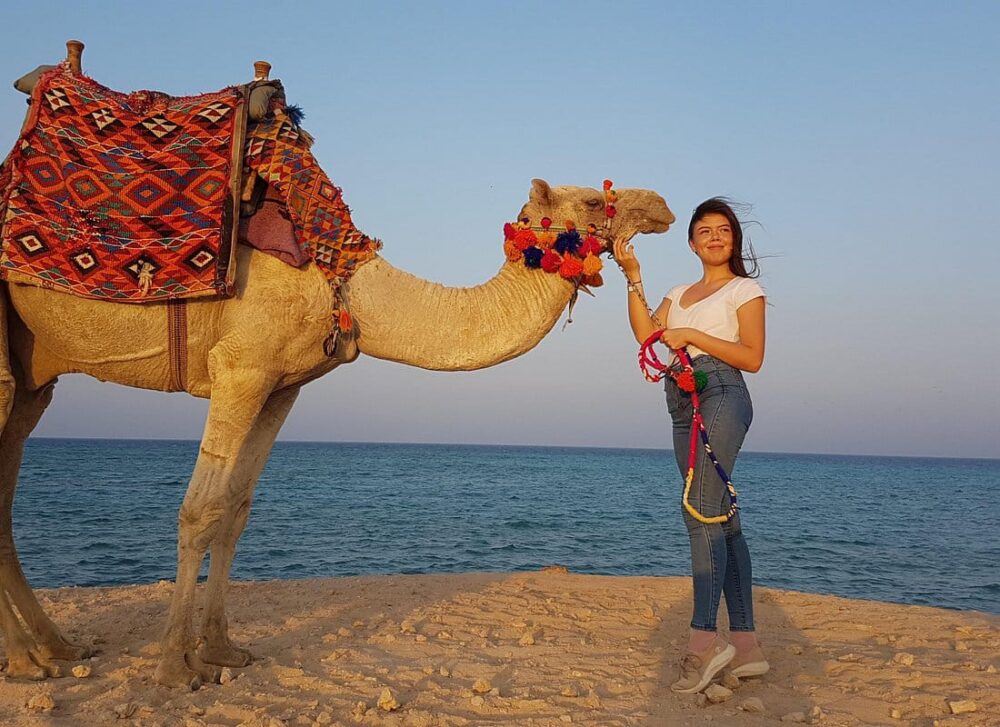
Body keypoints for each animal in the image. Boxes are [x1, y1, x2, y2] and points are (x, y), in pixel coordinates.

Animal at [0, 52, 675, 689]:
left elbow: (236, 510)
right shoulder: (241, 368)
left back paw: (49, 649)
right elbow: (200, 509)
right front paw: (175, 668)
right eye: (594, 198)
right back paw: (33, 659)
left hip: (33, 371)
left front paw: (221, 650)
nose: (662, 204)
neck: (341, 277)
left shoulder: (280, 386)